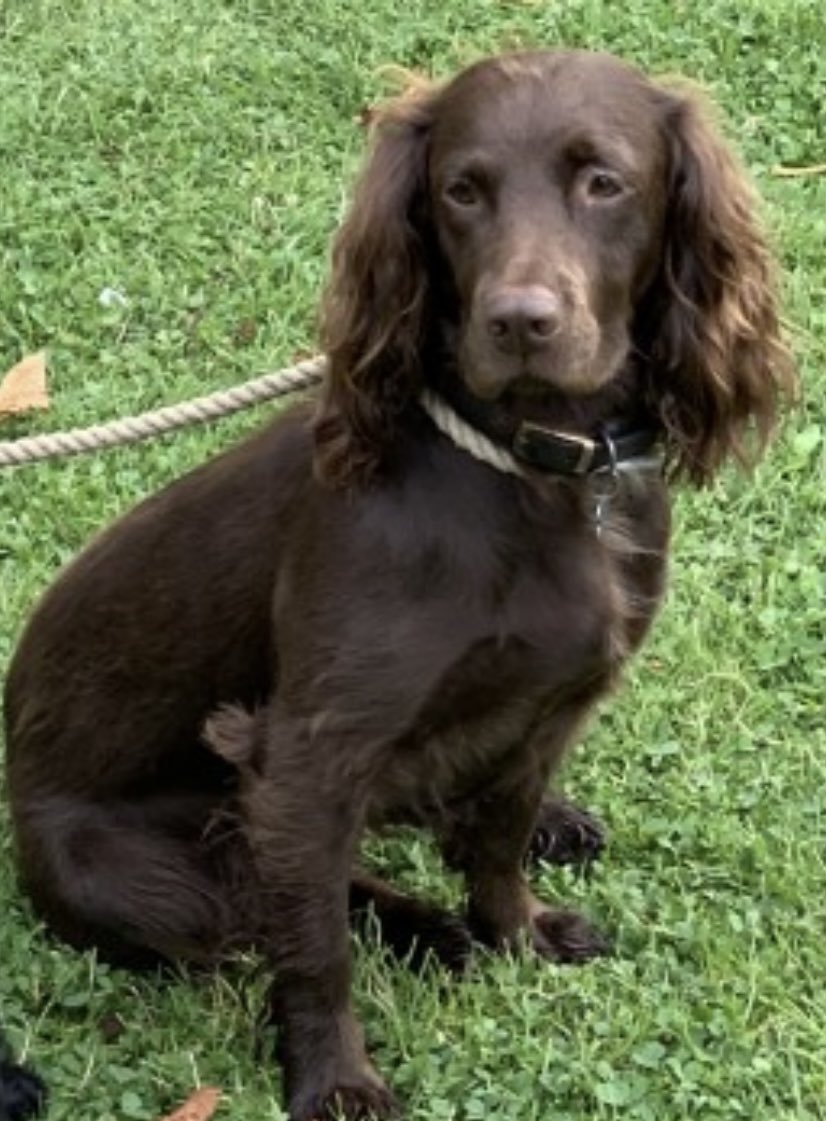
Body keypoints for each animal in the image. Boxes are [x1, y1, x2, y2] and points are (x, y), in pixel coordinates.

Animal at [4, 50, 793, 1121]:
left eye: (605, 181)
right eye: (461, 190)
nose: (520, 321)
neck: (535, 470)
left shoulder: (551, 705)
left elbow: (498, 838)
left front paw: (518, 932)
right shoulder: (309, 751)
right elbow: (314, 944)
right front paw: (336, 1077)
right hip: (137, 875)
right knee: (267, 899)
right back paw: (425, 930)